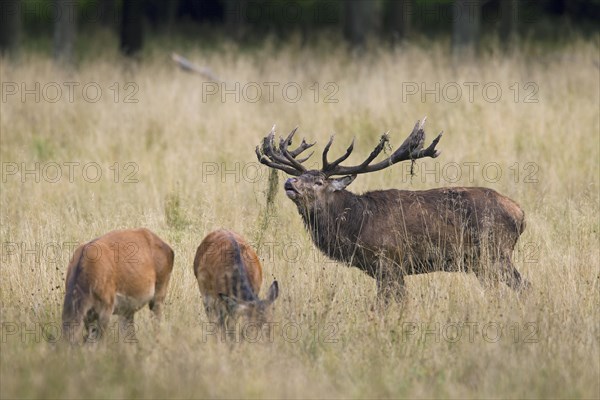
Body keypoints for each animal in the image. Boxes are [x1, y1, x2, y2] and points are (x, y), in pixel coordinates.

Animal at [255, 119, 528, 304]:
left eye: (320, 181)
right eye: (300, 176)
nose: (290, 183)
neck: (356, 225)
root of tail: (520, 214)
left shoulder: (389, 262)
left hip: (495, 253)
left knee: (523, 285)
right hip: (482, 263)